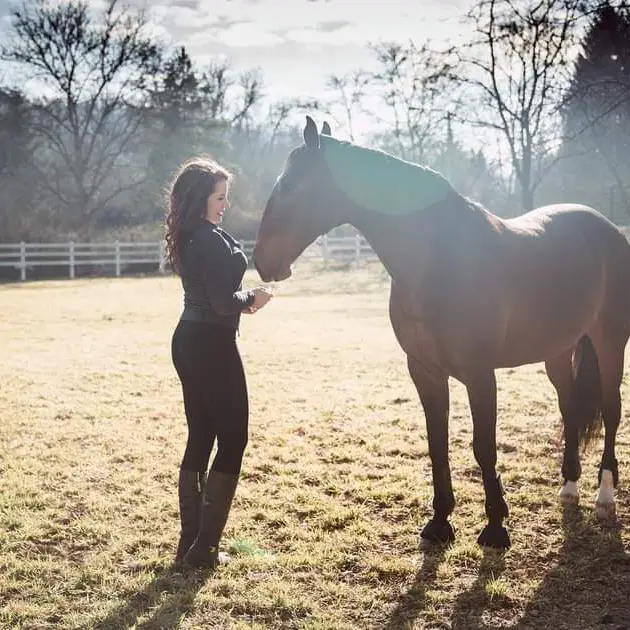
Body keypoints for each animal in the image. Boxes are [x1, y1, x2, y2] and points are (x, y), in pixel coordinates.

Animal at [253, 116, 630, 552]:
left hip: (610, 342)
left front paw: (496, 528)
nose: (261, 261)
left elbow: (484, 447)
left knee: (612, 410)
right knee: (570, 409)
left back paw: (604, 495)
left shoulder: (480, 375)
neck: (438, 257)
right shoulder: (425, 371)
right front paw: (439, 522)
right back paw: (568, 486)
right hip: (557, 349)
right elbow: (437, 443)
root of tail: (608, 230)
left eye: (291, 186)